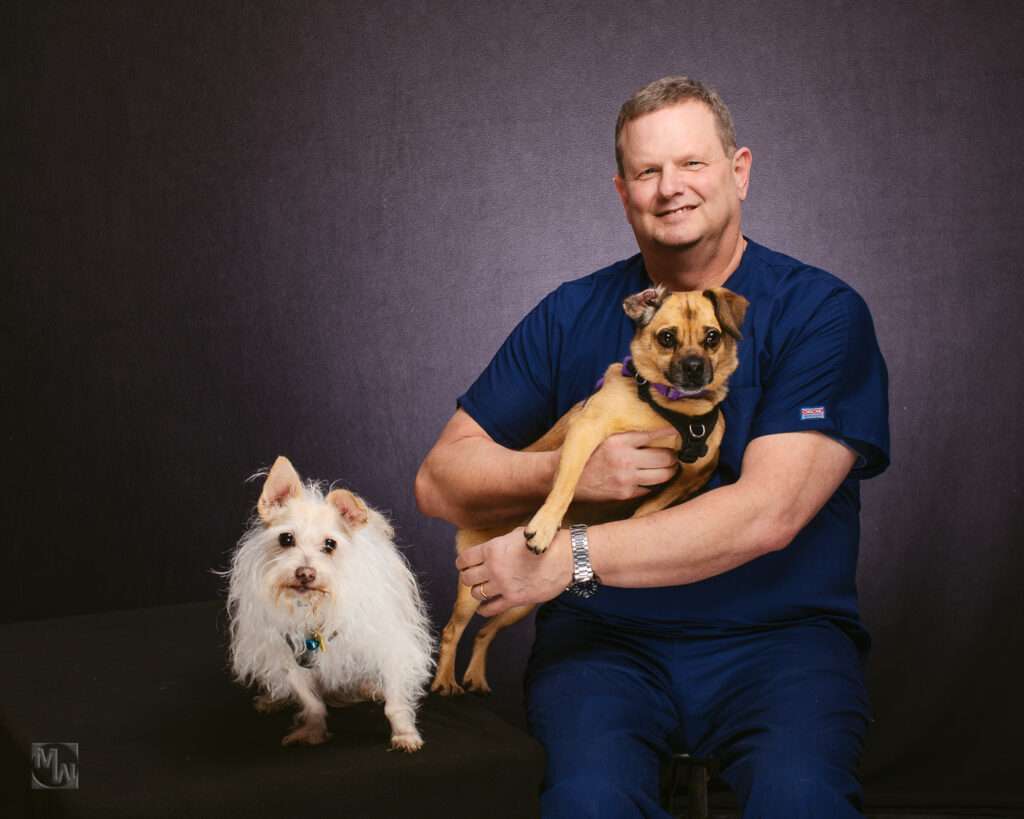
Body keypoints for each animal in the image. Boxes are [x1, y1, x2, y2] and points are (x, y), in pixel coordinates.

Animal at [226, 456, 434, 753]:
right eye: (286, 538)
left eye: (330, 544)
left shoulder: (391, 647)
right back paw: (272, 699)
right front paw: (313, 731)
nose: (305, 573)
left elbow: (394, 704)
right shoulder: (290, 659)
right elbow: (311, 702)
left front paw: (405, 734)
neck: (315, 607)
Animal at [428, 284, 749, 696]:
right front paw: (544, 527)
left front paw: (629, 523)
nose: (694, 368)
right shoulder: (588, 430)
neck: (674, 409)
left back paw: (477, 677)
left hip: (520, 600)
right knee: (453, 630)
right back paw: (445, 681)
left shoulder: (695, 473)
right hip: (473, 590)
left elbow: (649, 509)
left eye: (712, 337)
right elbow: (566, 482)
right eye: (667, 338)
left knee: (485, 631)